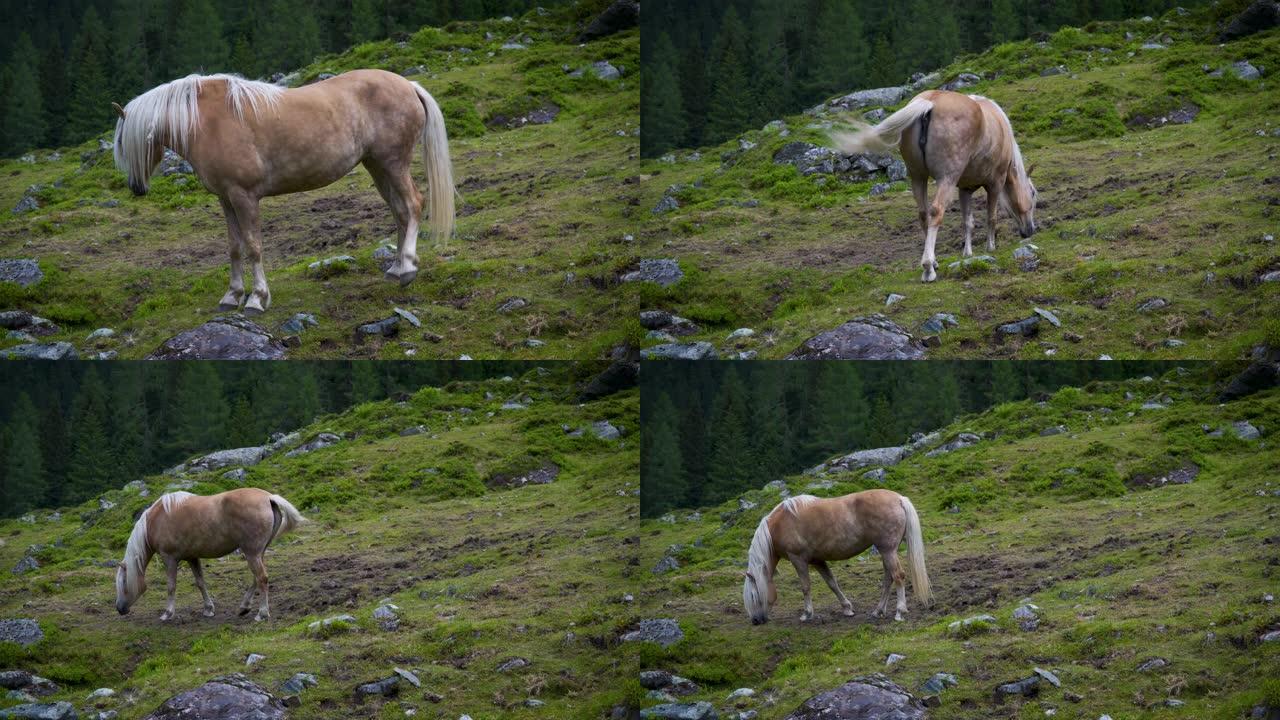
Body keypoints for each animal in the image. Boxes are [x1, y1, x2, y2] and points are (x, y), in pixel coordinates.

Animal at [111, 69, 455, 311]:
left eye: (128, 143)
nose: (136, 188)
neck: (208, 122)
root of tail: (409, 85)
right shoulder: (225, 198)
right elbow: (234, 246)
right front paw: (232, 295)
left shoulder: (244, 197)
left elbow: (253, 246)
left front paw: (256, 299)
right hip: (377, 167)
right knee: (400, 211)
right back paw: (397, 269)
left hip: (393, 164)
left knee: (413, 204)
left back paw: (407, 266)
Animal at [114, 484, 304, 620]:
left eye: (123, 582)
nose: (119, 608)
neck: (156, 521)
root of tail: (269, 498)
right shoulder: (192, 557)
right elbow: (200, 582)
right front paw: (208, 609)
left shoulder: (170, 559)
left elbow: (171, 586)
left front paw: (167, 613)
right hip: (258, 552)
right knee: (256, 578)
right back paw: (244, 607)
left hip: (252, 553)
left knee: (262, 578)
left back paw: (262, 613)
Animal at [742, 486, 931, 622]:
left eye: (753, 595)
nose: (756, 621)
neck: (779, 526)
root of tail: (899, 499)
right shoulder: (817, 561)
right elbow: (832, 583)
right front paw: (847, 608)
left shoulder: (798, 560)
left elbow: (805, 586)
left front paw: (807, 614)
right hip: (886, 551)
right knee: (888, 578)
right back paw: (878, 611)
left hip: (888, 550)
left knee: (898, 575)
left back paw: (899, 612)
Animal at [829, 87, 1039, 280]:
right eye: (1033, 193)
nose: (1030, 230)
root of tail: (930, 102)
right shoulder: (995, 184)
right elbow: (991, 217)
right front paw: (991, 247)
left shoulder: (964, 189)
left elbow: (968, 222)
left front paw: (968, 253)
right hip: (946, 179)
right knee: (936, 211)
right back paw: (929, 267)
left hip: (918, 177)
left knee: (923, 215)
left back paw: (934, 261)